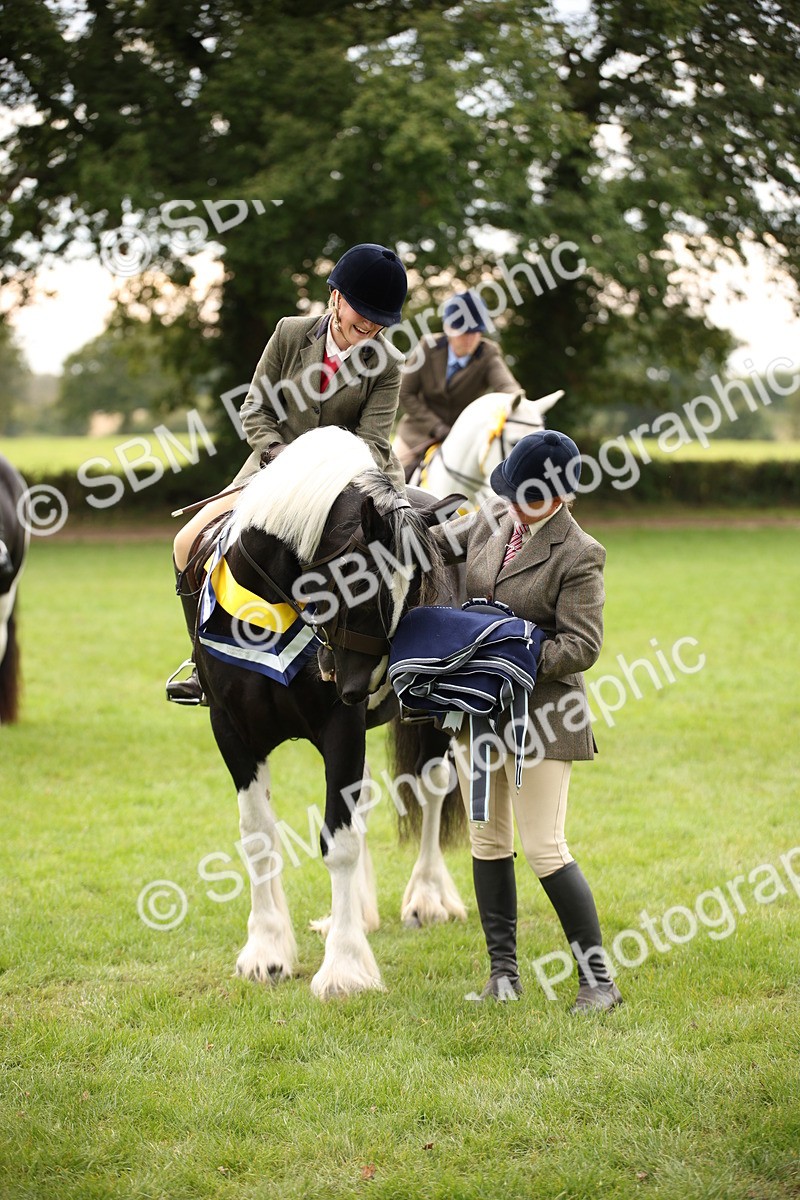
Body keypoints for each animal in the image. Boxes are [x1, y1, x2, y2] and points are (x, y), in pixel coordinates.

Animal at [193, 426, 467, 998]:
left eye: (417, 589)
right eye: (360, 581)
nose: (369, 684)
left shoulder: (342, 727)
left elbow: (338, 841)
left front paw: (344, 968)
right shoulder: (231, 728)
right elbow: (258, 835)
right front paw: (267, 950)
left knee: (432, 789)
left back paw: (427, 896)